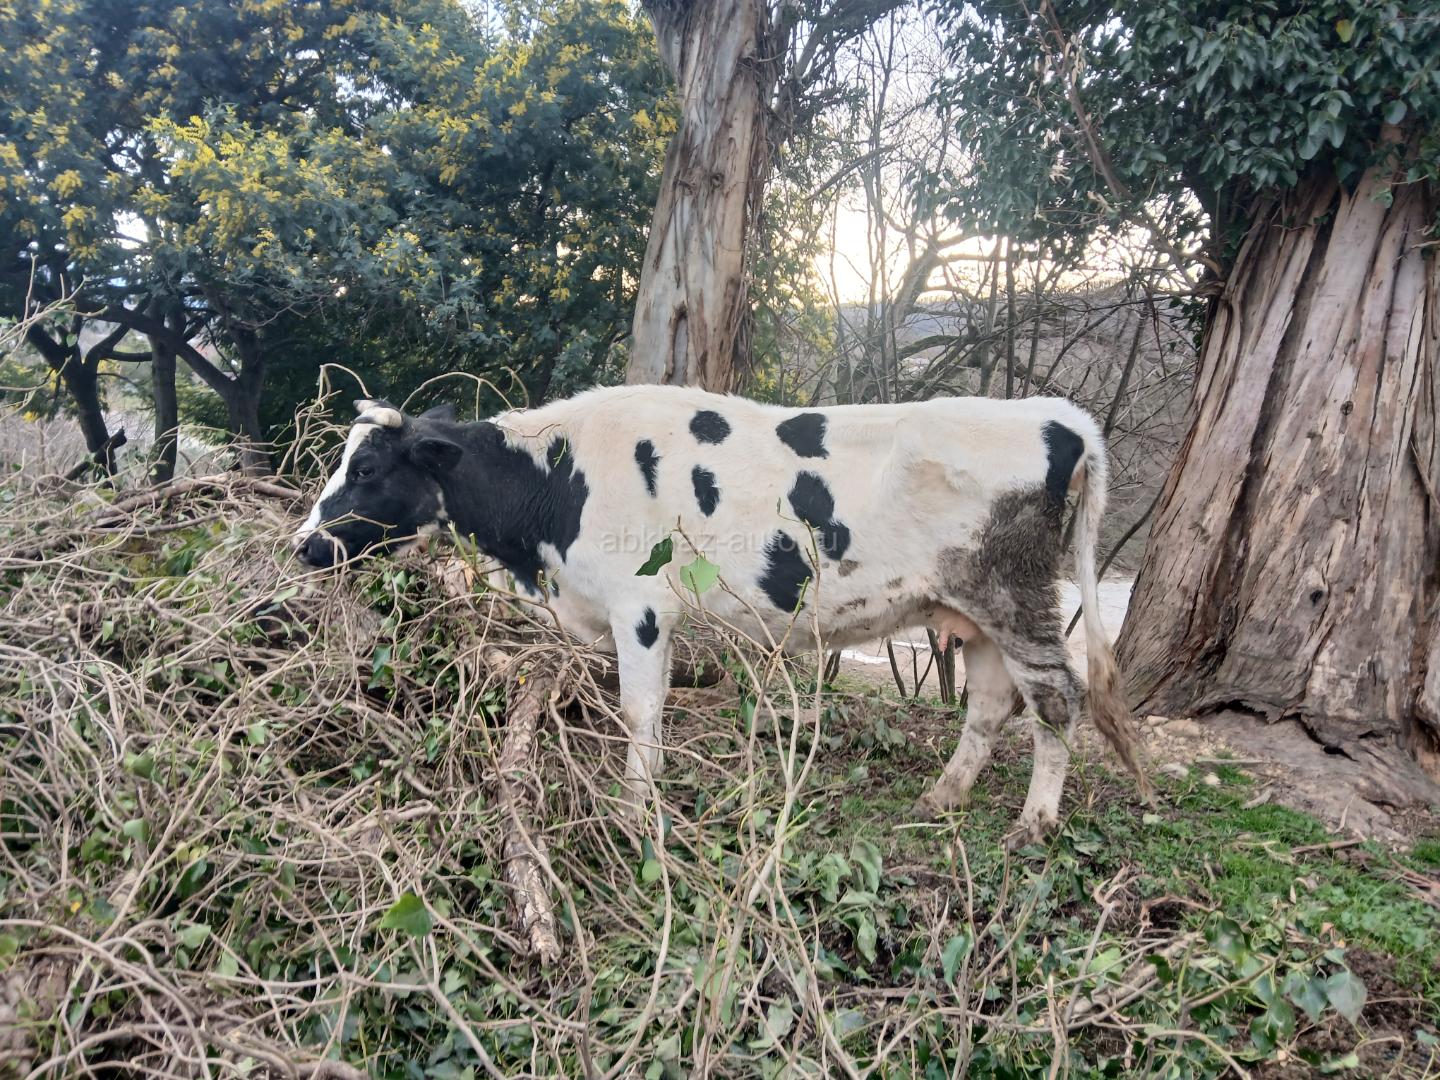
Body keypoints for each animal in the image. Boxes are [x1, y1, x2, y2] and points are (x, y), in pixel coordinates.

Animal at [294, 385, 1150, 844]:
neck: (557, 487)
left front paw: (635, 810)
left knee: (1055, 699)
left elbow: (640, 714)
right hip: (967, 608)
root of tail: (1056, 415)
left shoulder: (640, 609)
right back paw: (943, 797)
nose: (303, 545)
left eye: (365, 469)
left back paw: (1033, 822)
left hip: (1013, 594)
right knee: (991, 703)